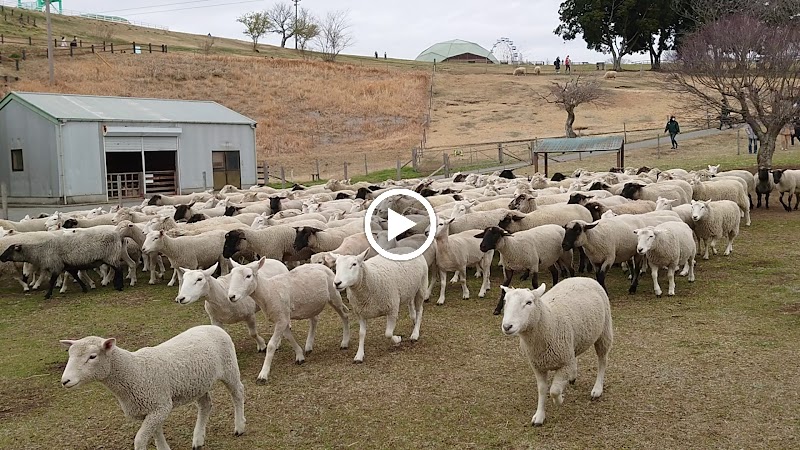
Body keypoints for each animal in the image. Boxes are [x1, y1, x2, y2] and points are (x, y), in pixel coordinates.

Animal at [60, 326, 244, 450]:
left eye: (92, 356)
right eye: (69, 355)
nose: (65, 381)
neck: (135, 371)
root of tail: (214, 327)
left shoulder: (161, 406)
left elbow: (140, 439)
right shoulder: (150, 409)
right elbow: (156, 432)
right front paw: (164, 447)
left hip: (229, 368)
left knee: (238, 393)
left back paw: (239, 426)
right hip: (198, 383)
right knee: (206, 405)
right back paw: (198, 439)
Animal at [500, 278, 612, 426]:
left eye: (529, 302)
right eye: (505, 301)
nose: (507, 326)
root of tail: (582, 278)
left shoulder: (564, 364)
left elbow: (554, 390)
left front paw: (559, 400)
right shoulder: (538, 366)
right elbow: (542, 390)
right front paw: (539, 416)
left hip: (604, 331)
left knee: (602, 360)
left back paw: (597, 389)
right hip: (572, 343)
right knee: (575, 357)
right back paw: (572, 377)